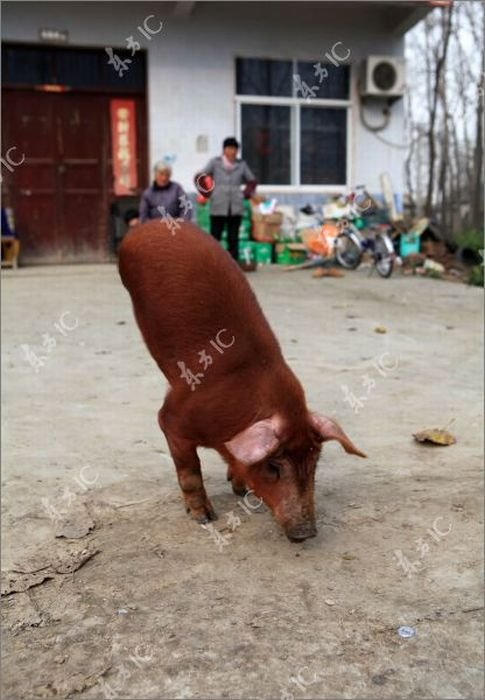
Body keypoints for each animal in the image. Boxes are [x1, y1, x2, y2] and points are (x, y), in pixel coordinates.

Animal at [119, 219, 364, 540]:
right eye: (273, 466)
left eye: (314, 462)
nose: (306, 533)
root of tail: (152, 223)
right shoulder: (174, 418)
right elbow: (189, 469)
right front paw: (204, 517)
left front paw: (238, 488)